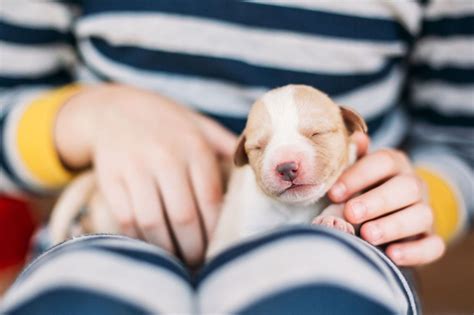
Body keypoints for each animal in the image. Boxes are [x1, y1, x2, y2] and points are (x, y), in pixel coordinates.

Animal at [206, 85, 366, 258]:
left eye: (316, 133)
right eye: (258, 147)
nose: (286, 167)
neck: (298, 206)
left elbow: (344, 201)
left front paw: (332, 219)